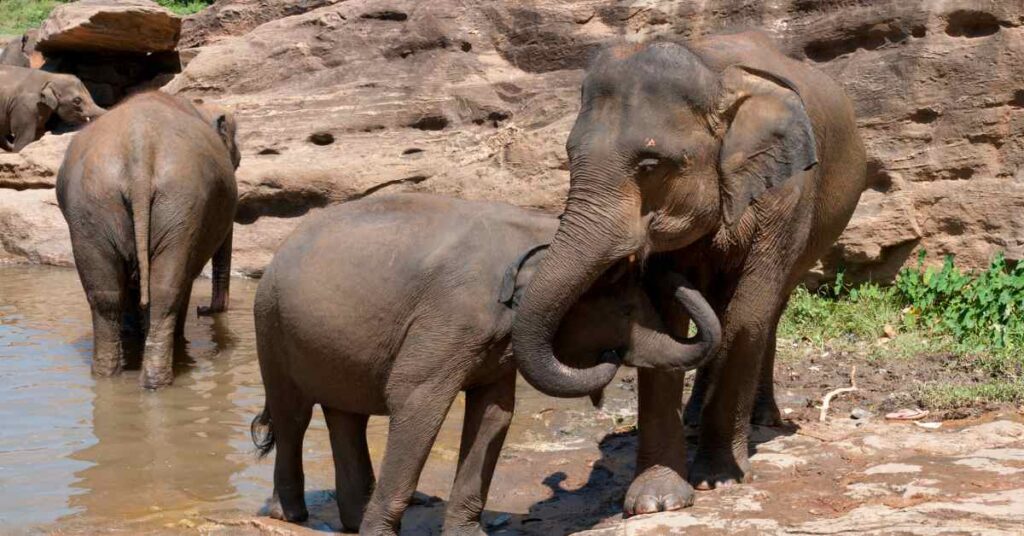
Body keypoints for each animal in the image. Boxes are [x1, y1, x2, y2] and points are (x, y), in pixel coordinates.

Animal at [56, 90, 239, 387]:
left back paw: (110, 377)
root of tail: (139, 150)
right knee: (166, 292)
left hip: (93, 206)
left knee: (106, 296)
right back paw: (158, 382)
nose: (204, 310)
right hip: (179, 203)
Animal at [247, 193, 720, 536]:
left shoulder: (494, 344)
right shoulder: (450, 316)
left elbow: (494, 414)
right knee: (293, 416)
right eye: (626, 311)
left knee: (346, 417)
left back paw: (350, 519)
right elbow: (414, 400)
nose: (611, 356)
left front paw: (467, 534)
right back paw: (291, 515)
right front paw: (381, 534)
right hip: (270, 325)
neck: (542, 236)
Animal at [512, 29, 864, 512]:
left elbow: (747, 314)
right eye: (569, 156)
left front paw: (719, 480)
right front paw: (657, 501)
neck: (713, 72)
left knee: (770, 310)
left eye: (649, 165)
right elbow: (665, 322)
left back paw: (763, 420)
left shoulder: (787, 195)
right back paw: (697, 417)